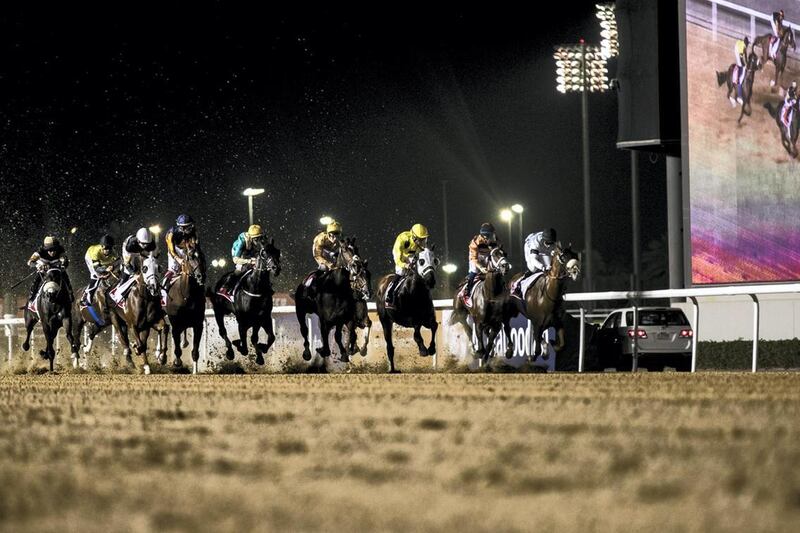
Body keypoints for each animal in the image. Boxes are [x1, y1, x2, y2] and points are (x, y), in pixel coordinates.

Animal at [165, 240, 206, 370]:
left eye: (202, 256)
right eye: (191, 257)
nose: (201, 276)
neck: (187, 295)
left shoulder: (198, 324)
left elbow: (195, 352)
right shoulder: (175, 325)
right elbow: (177, 349)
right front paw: (177, 362)